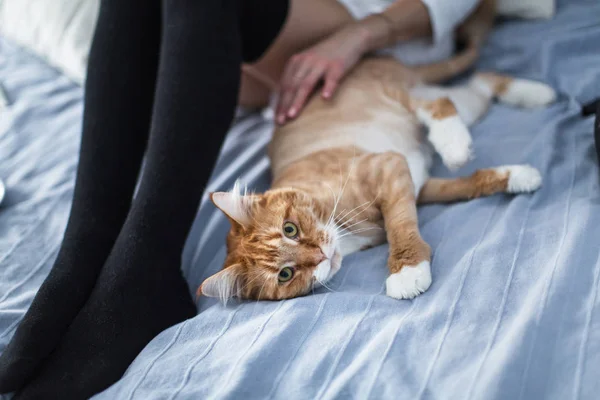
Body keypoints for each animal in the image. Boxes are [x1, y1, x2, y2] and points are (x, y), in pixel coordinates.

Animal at [199, 1, 556, 302]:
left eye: (290, 229)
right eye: (285, 275)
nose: (320, 256)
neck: (344, 232)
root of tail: (379, 58)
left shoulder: (390, 167)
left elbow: (400, 226)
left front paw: (407, 270)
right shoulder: (419, 186)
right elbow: (469, 185)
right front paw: (518, 176)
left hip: (398, 96)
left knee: (441, 102)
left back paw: (457, 140)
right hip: (459, 104)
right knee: (478, 83)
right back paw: (531, 93)